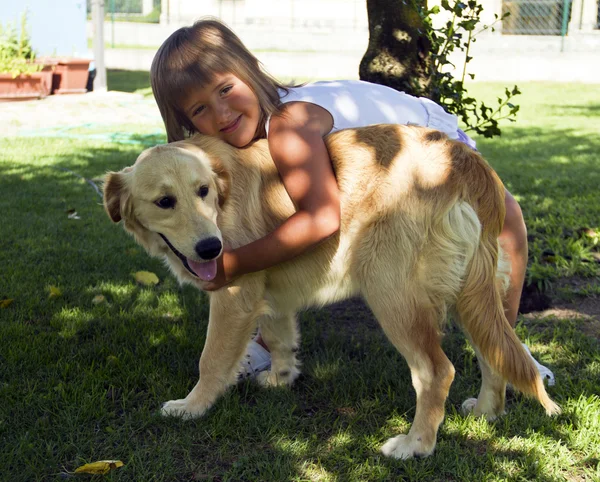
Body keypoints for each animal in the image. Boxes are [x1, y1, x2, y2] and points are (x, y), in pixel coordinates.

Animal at [102, 124, 556, 460]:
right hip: (470, 295)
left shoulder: (234, 296)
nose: (211, 248)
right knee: (493, 354)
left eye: (202, 192)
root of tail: (464, 160)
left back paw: (415, 445)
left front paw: (192, 407)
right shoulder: (269, 293)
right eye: (165, 201)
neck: (223, 192)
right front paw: (282, 377)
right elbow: (281, 338)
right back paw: (487, 412)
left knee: (437, 371)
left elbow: (211, 360)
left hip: (392, 295)